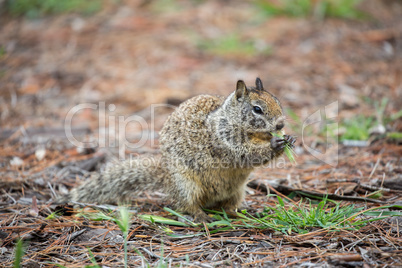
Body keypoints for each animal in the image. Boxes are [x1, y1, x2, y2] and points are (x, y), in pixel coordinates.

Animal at [61, 78, 296, 223]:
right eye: (257, 109)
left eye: (277, 101)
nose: (280, 125)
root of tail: (165, 176)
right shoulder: (225, 140)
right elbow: (245, 155)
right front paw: (275, 145)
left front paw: (289, 139)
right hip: (186, 185)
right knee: (186, 205)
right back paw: (201, 216)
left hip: (237, 191)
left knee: (227, 207)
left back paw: (242, 213)